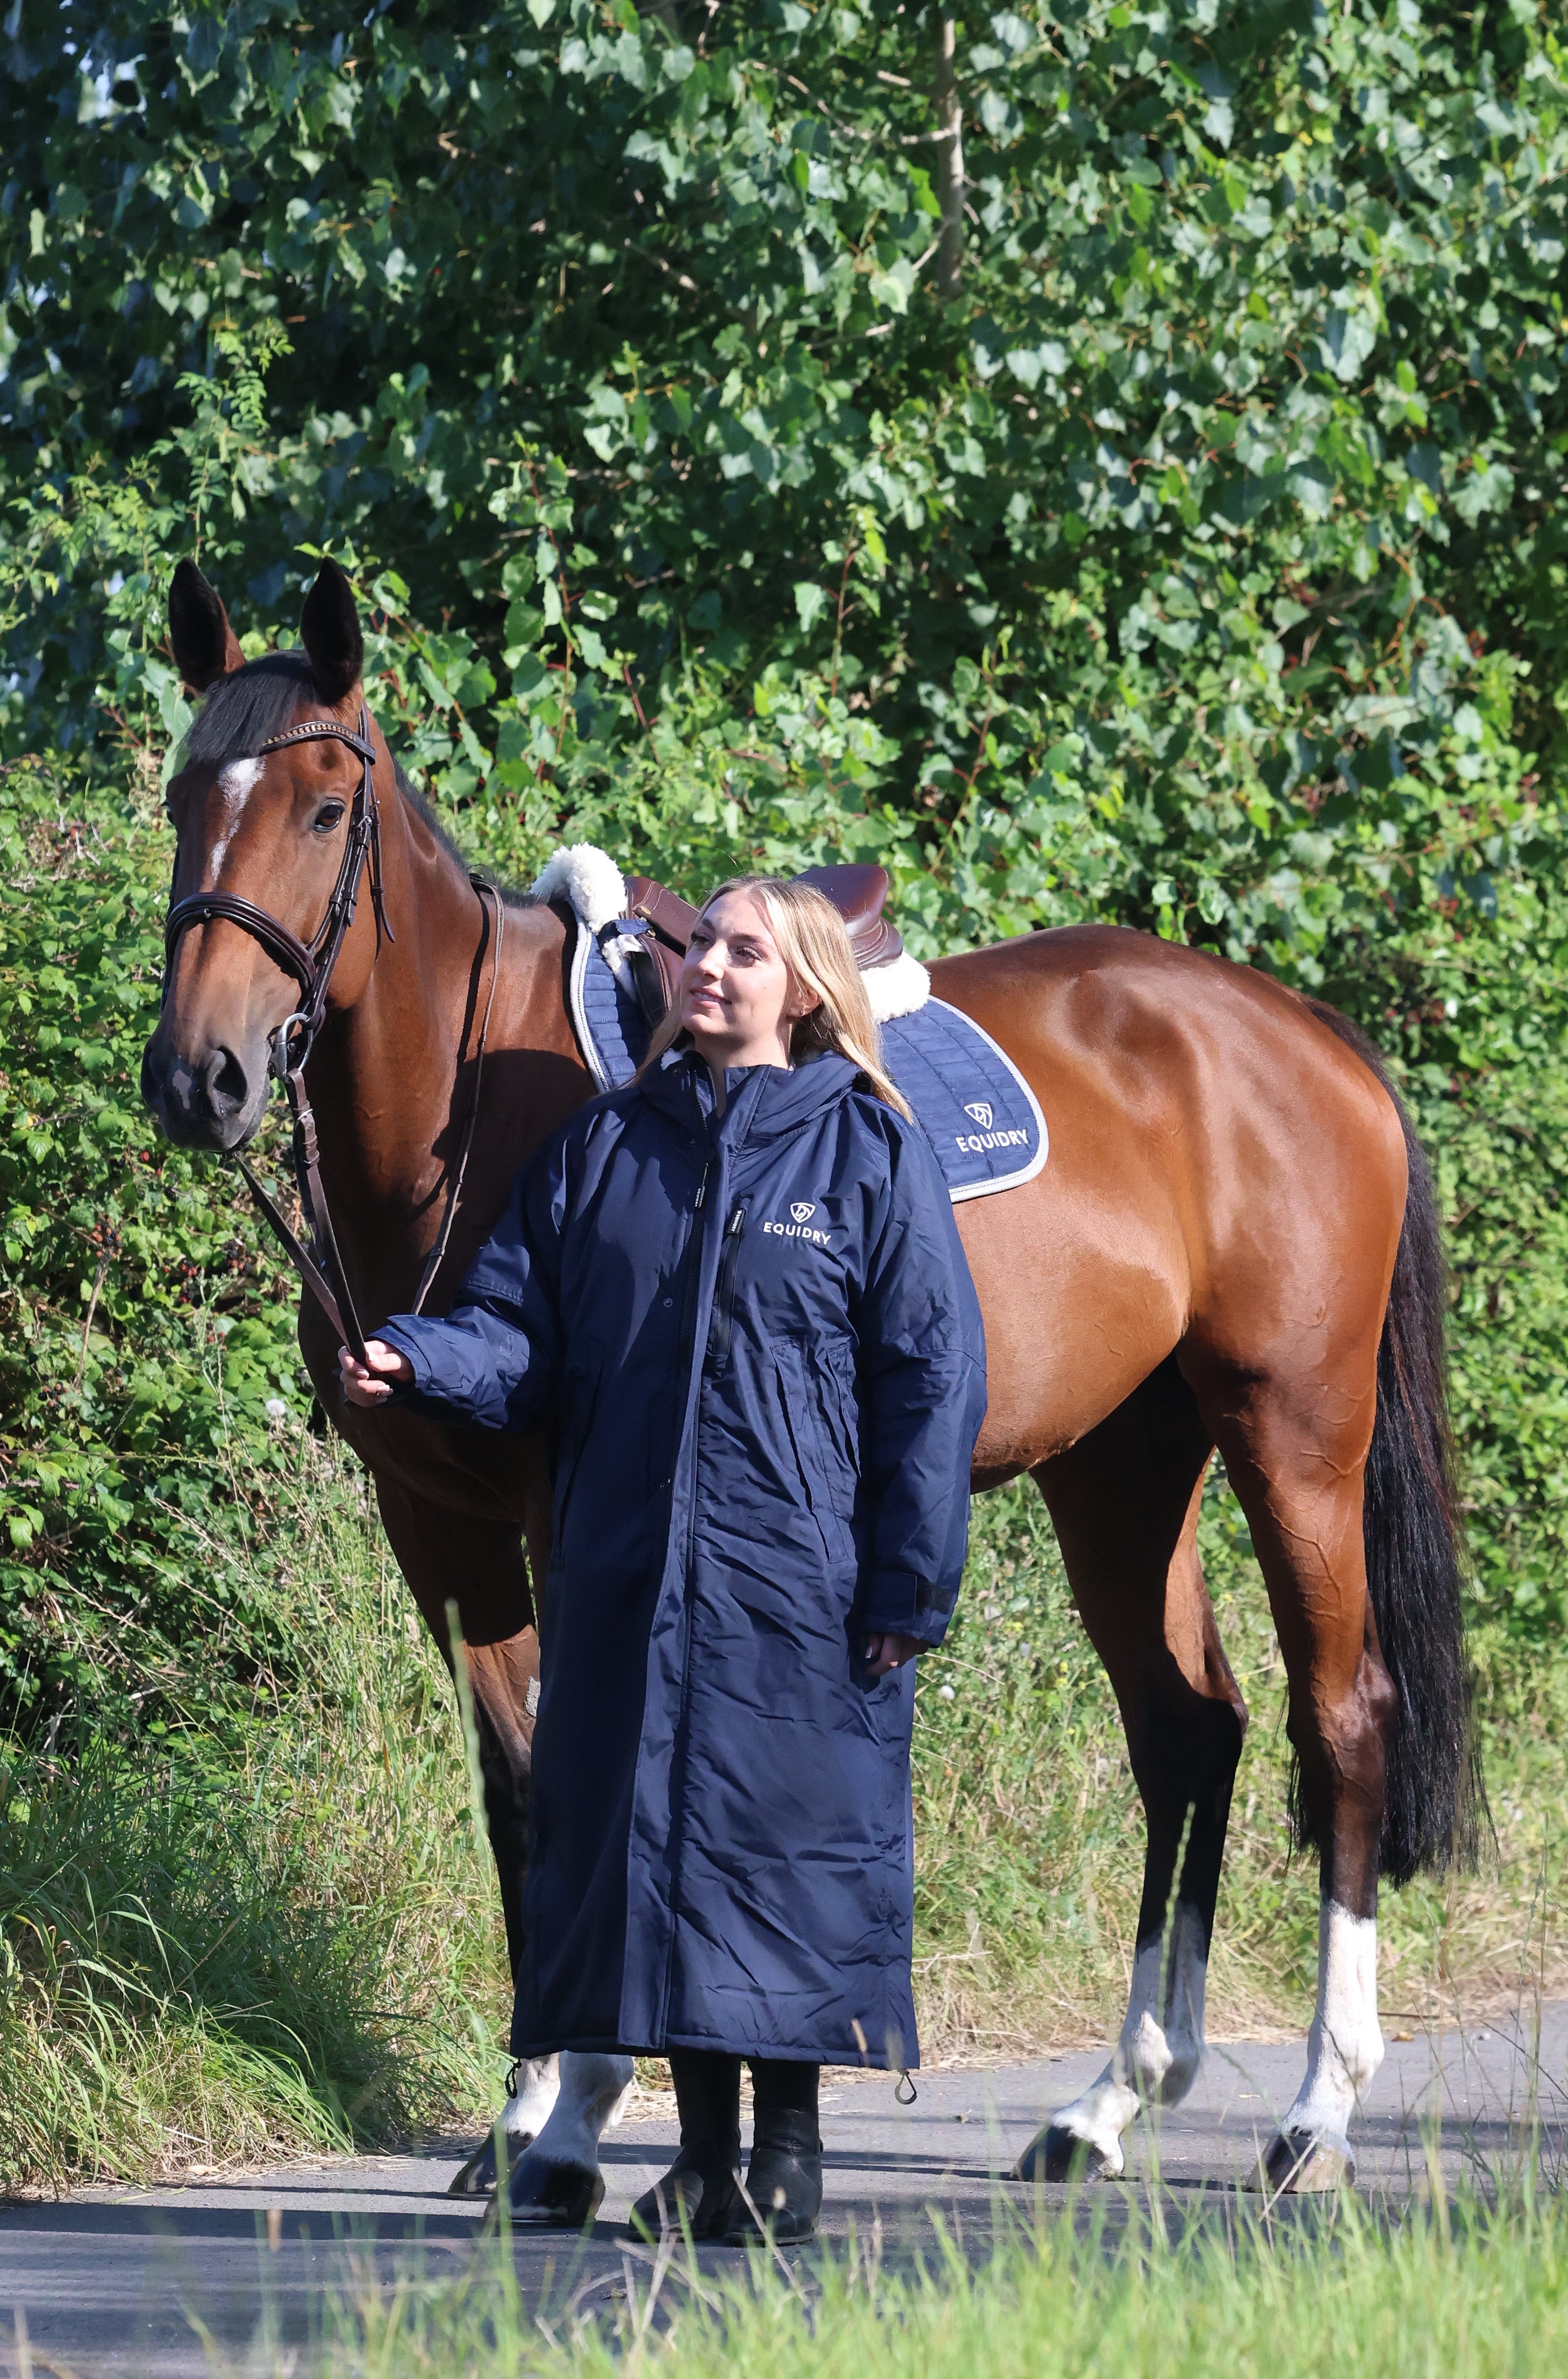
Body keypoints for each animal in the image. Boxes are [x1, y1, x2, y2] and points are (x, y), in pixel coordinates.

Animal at [141, 556, 1476, 2211]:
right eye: (186, 795)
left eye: (327, 809)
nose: (198, 1079)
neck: (471, 1111)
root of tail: (1300, 1033)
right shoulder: (438, 1529)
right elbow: (519, 1791)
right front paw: (527, 2112)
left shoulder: (575, 1509)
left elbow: (588, 1776)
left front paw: (584, 2110)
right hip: (1120, 1466)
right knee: (1186, 1733)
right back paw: (1111, 2103)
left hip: (1292, 1436)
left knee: (1340, 1723)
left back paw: (1315, 2111)